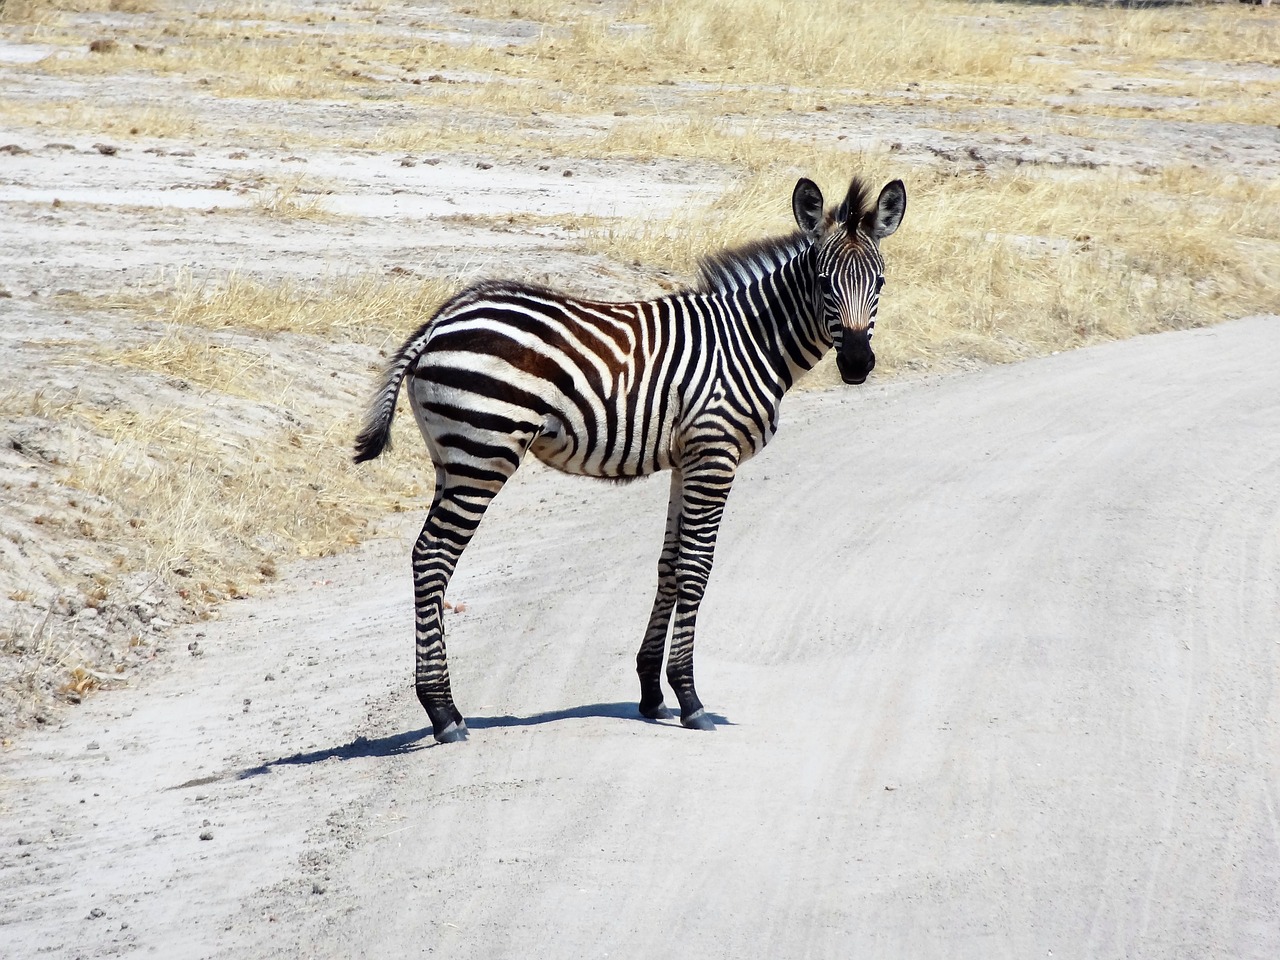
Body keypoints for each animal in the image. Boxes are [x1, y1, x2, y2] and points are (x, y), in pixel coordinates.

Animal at [355, 175, 906, 742]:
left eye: (881, 284)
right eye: (823, 283)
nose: (857, 365)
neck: (752, 341)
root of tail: (441, 319)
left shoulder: (688, 459)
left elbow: (669, 565)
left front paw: (651, 691)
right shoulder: (715, 453)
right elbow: (696, 569)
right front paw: (690, 698)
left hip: (453, 456)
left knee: (426, 554)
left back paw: (443, 706)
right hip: (485, 450)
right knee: (434, 556)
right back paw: (443, 712)